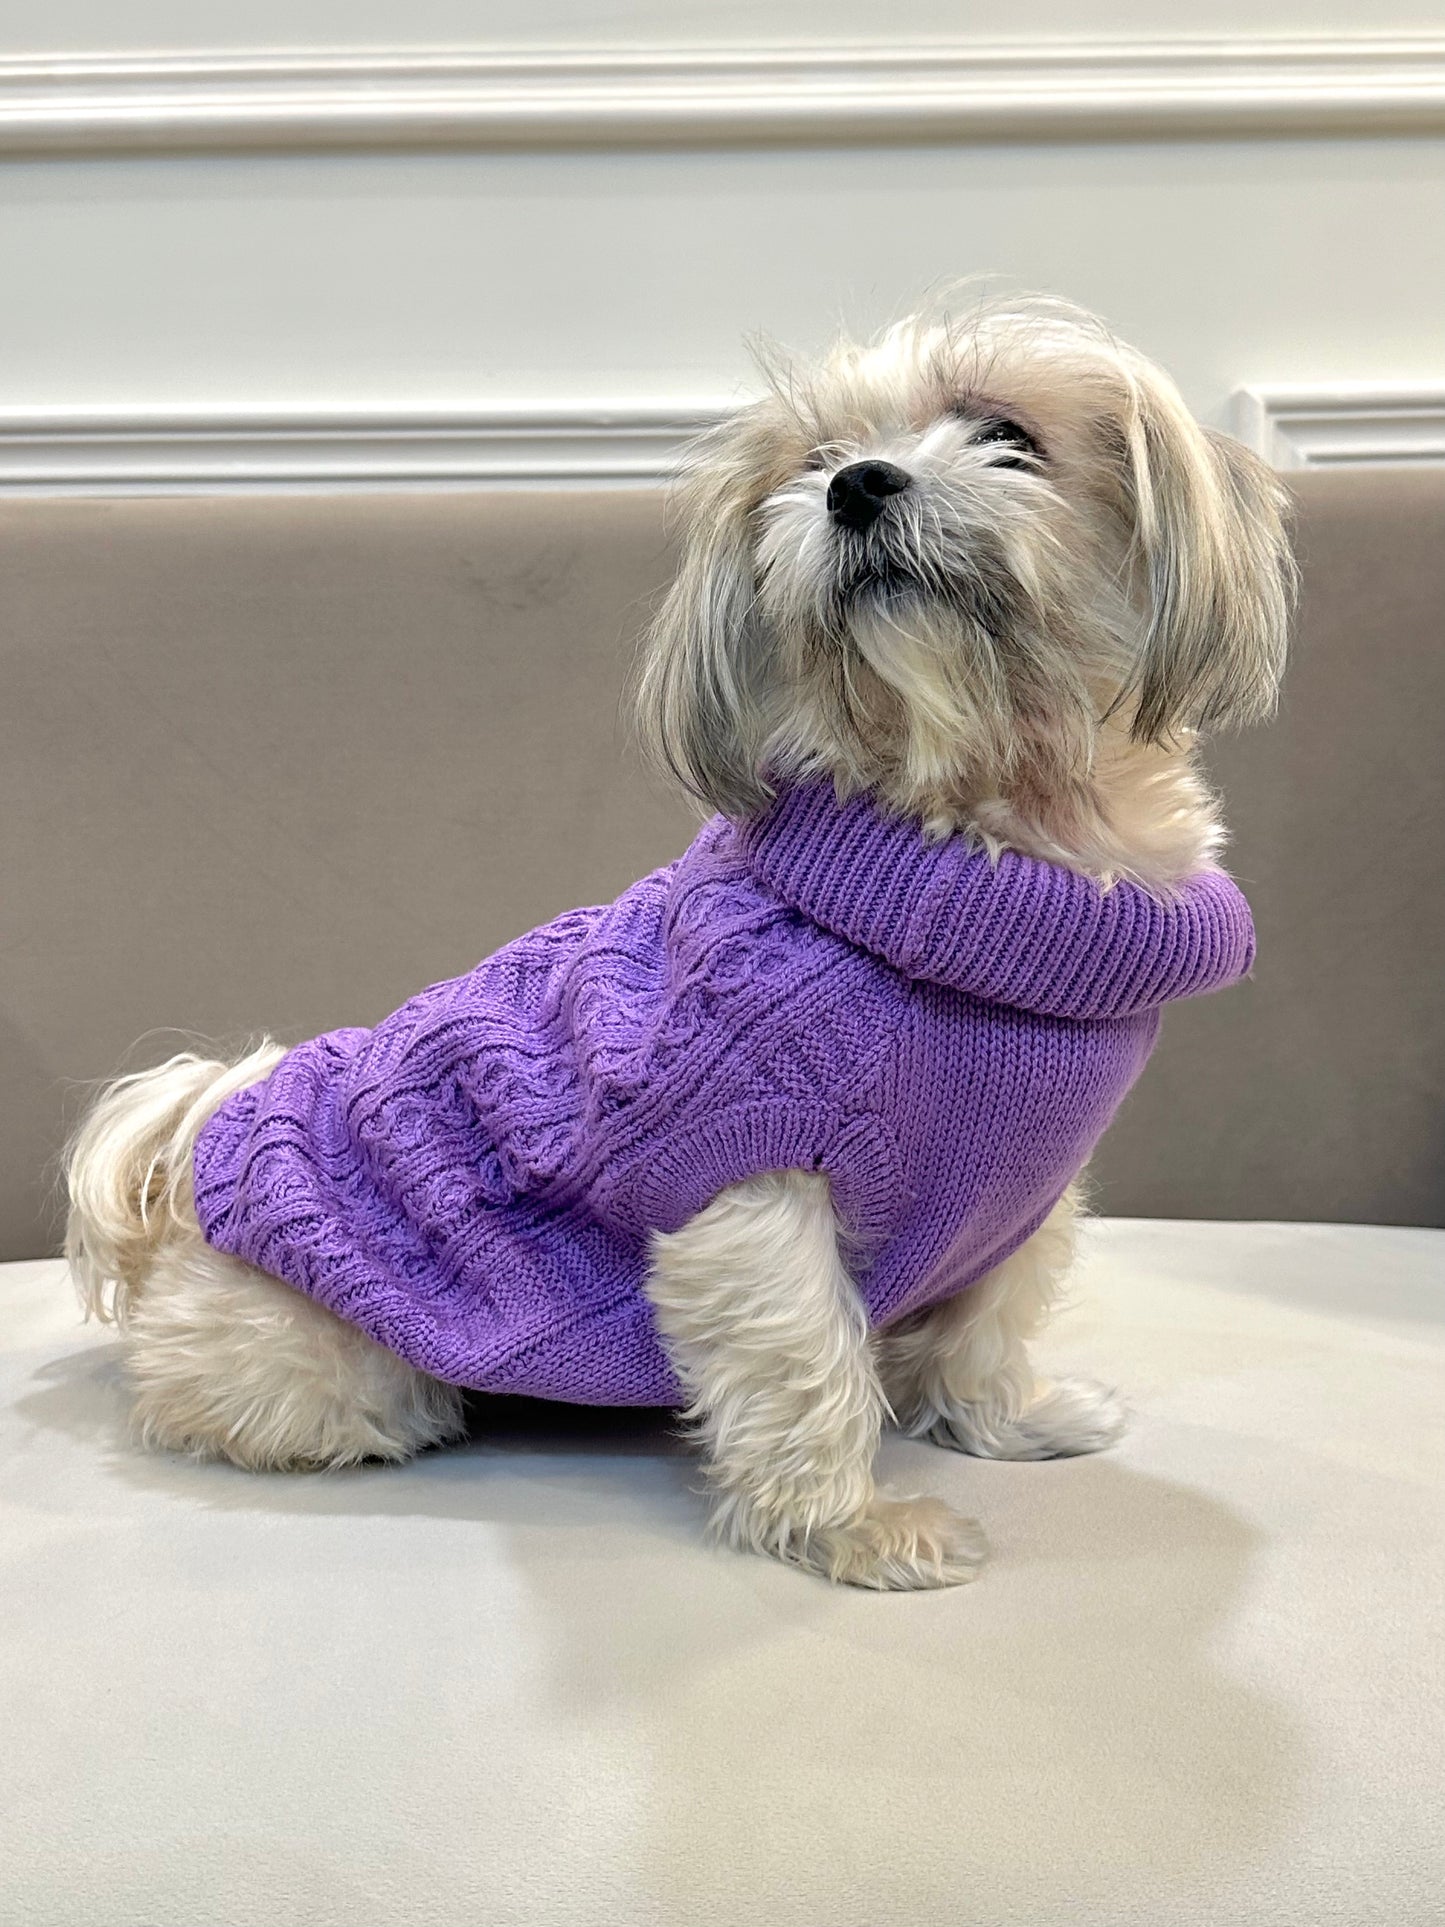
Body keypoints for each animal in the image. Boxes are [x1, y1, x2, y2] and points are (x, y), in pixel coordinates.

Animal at [62, 292, 1294, 1587]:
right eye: (808, 459)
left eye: (1006, 432)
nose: (854, 483)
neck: (967, 833)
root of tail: (185, 1171)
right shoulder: (744, 1178)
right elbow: (806, 1368)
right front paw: (853, 1526)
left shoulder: (1026, 1189)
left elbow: (987, 1326)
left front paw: (1007, 1420)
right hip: (341, 1365)